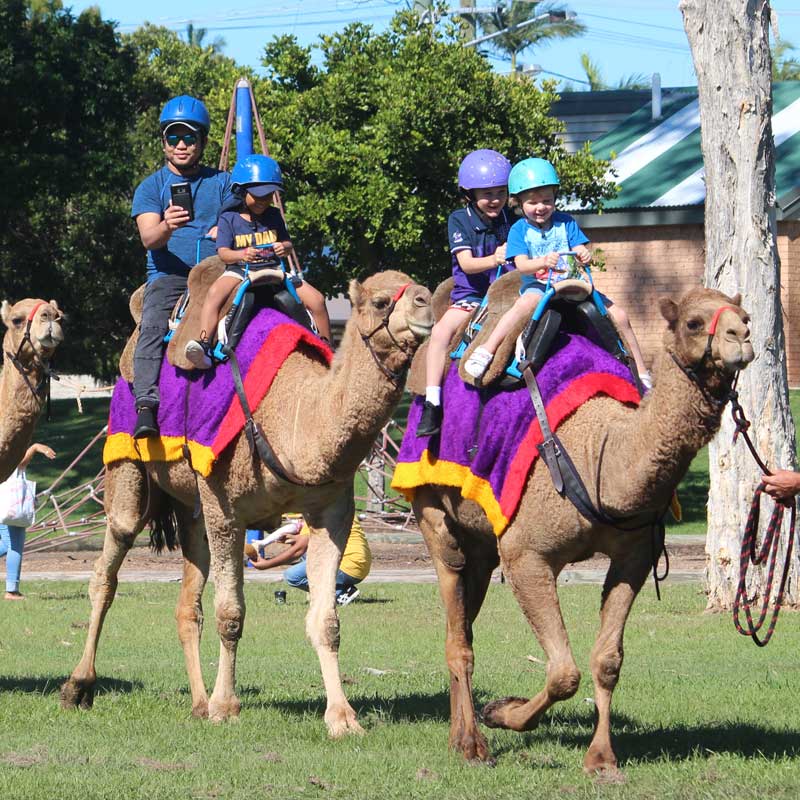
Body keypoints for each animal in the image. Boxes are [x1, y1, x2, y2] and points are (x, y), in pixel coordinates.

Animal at [61, 272, 432, 736]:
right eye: (381, 301)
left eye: (419, 286)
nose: (427, 303)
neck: (295, 418)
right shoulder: (227, 508)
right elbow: (231, 613)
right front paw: (226, 705)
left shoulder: (330, 512)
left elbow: (326, 621)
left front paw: (342, 717)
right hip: (127, 458)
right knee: (109, 567)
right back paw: (78, 686)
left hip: (192, 506)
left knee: (187, 603)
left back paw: (198, 702)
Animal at [412, 284, 756, 772]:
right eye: (692, 322)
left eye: (746, 317)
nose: (740, 337)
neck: (600, 453)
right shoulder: (527, 556)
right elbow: (563, 673)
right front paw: (501, 712)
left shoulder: (635, 555)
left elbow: (607, 660)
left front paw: (601, 757)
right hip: (433, 514)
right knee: (457, 622)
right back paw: (472, 744)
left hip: (480, 544)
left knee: (461, 623)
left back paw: (459, 736)